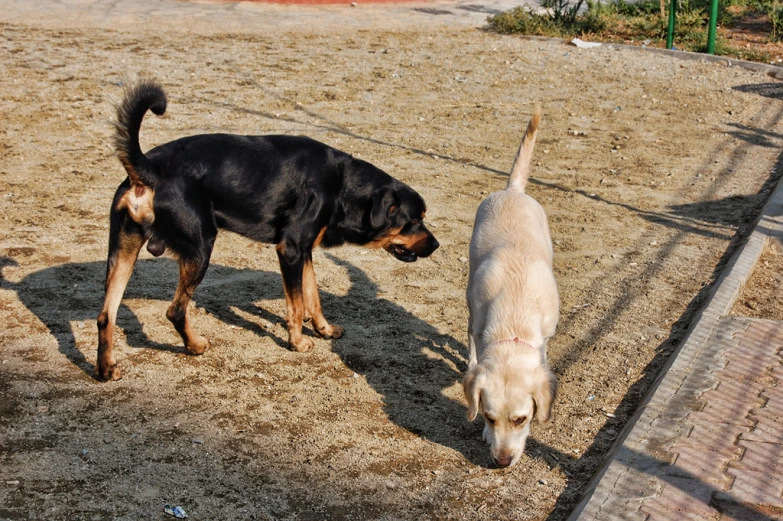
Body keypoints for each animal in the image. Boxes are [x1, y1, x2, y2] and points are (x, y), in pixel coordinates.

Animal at [95, 79, 438, 380]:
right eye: (413, 220)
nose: (436, 245)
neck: (342, 185)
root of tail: (148, 168)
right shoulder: (290, 250)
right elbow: (297, 305)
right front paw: (297, 343)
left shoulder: (304, 251)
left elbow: (313, 296)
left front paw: (325, 329)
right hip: (201, 247)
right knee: (175, 311)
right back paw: (195, 346)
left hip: (123, 251)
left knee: (105, 315)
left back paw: (106, 369)